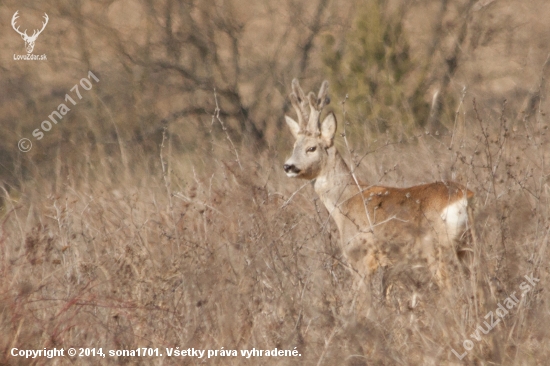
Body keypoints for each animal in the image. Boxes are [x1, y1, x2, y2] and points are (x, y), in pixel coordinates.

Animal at [284, 79, 474, 304]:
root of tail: (464, 197)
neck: (345, 202)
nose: (288, 166)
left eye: (312, 148)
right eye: (294, 146)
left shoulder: (360, 257)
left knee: (450, 290)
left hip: (437, 249)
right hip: (467, 246)